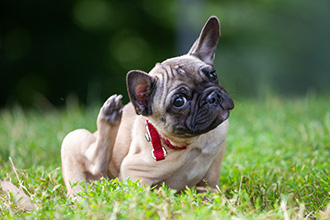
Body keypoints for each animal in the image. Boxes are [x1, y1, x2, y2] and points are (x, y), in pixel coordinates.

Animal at [60, 15, 233, 196]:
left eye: (212, 75)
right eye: (179, 101)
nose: (212, 97)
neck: (191, 142)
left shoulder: (214, 164)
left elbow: (209, 186)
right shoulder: (135, 173)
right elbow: (142, 196)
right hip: (74, 139)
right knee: (94, 168)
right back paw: (108, 116)